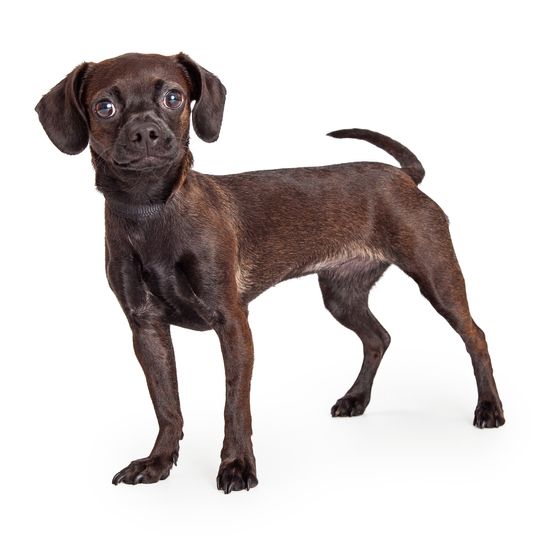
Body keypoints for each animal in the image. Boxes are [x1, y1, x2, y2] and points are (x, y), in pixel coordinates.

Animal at [35, 51, 506, 492]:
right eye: (104, 107)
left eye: (174, 98)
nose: (146, 133)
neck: (152, 211)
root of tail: (404, 177)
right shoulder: (147, 329)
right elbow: (167, 406)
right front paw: (158, 462)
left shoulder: (232, 324)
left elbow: (234, 406)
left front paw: (237, 466)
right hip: (342, 296)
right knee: (379, 338)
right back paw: (356, 399)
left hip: (438, 279)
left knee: (476, 336)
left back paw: (489, 408)